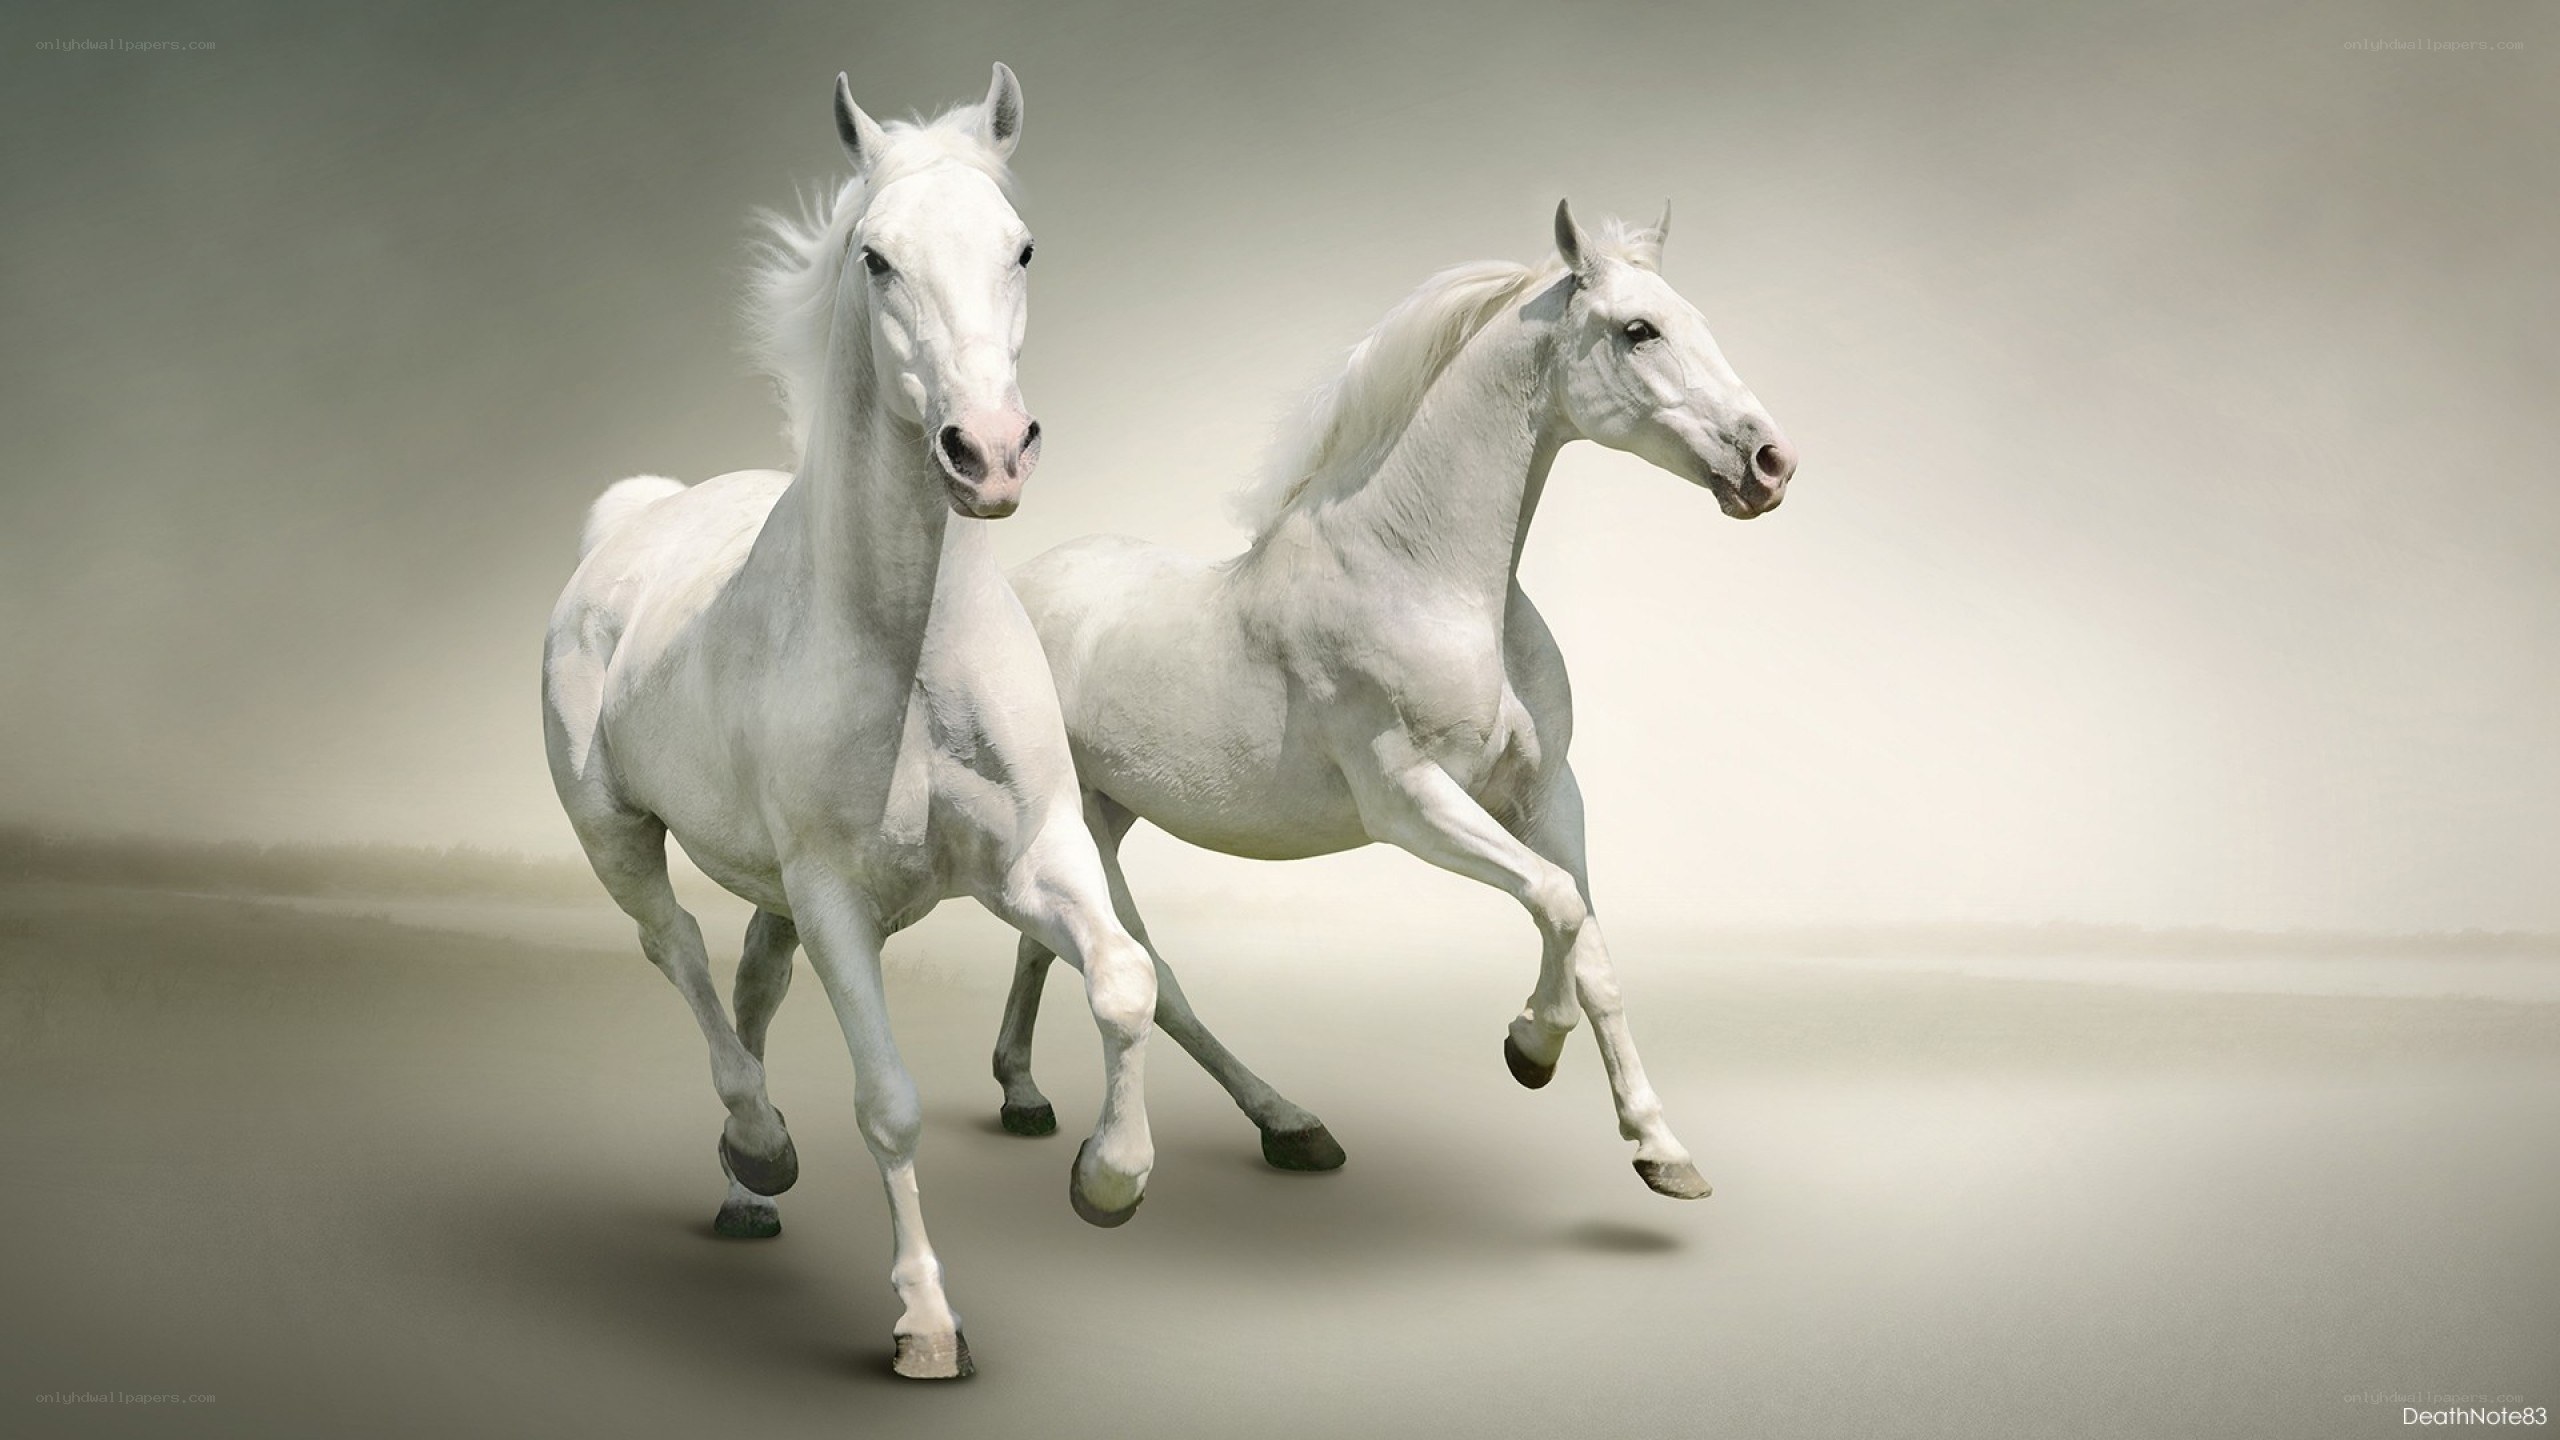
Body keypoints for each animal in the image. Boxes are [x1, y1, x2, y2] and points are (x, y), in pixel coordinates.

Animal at [542, 65, 1158, 1380]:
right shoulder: (836, 899)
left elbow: (1125, 979)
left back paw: (745, 1189)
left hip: (769, 888)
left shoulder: (1032, 857)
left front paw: (1108, 1179)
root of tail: (633, 520)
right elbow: (889, 1102)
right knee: (676, 951)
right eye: (876, 258)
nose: (989, 452)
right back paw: (759, 1145)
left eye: (1021, 246)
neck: (909, 650)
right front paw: (925, 1324)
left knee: (750, 980)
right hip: (615, 835)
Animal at [988, 202, 1796, 1201]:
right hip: (1086, 826)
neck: (1424, 576)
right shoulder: (1410, 802)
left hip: (1104, 812)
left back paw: (1027, 1095)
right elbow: (1558, 905)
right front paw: (1529, 1047)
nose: (1770, 462)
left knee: (1047, 944)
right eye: (1638, 329)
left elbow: (1594, 949)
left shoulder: (1548, 796)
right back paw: (1279, 1126)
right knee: (1150, 974)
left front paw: (1661, 1150)